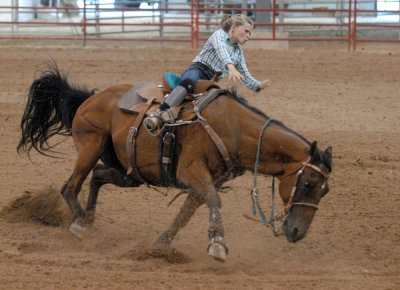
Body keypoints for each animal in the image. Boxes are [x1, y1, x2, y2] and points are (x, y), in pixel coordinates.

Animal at [17, 63, 332, 262]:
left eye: (325, 190)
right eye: (307, 183)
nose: (297, 233)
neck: (233, 127)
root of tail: (90, 96)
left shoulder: (206, 180)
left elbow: (186, 213)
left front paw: (162, 244)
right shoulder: (192, 172)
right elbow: (215, 201)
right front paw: (218, 245)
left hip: (130, 173)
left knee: (96, 176)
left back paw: (89, 220)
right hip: (90, 147)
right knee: (70, 186)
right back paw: (80, 222)